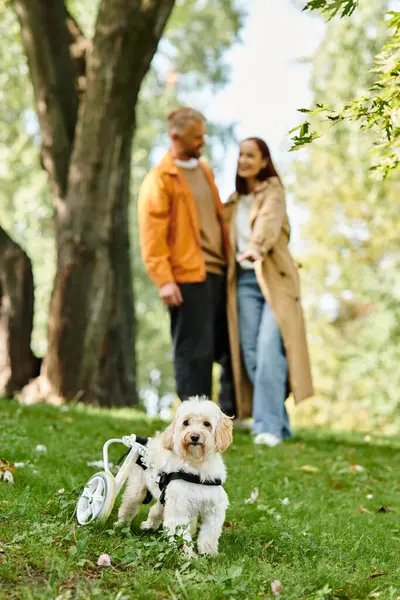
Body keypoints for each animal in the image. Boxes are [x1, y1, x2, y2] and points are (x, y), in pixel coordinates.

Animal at [117, 396, 233, 556]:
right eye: (186, 423)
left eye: (207, 424)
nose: (194, 436)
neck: (196, 467)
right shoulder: (179, 507)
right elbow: (181, 534)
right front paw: (188, 555)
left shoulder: (213, 508)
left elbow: (210, 533)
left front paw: (208, 553)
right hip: (137, 490)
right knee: (129, 506)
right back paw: (120, 524)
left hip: (165, 498)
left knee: (156, 510)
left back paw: (149, 524)